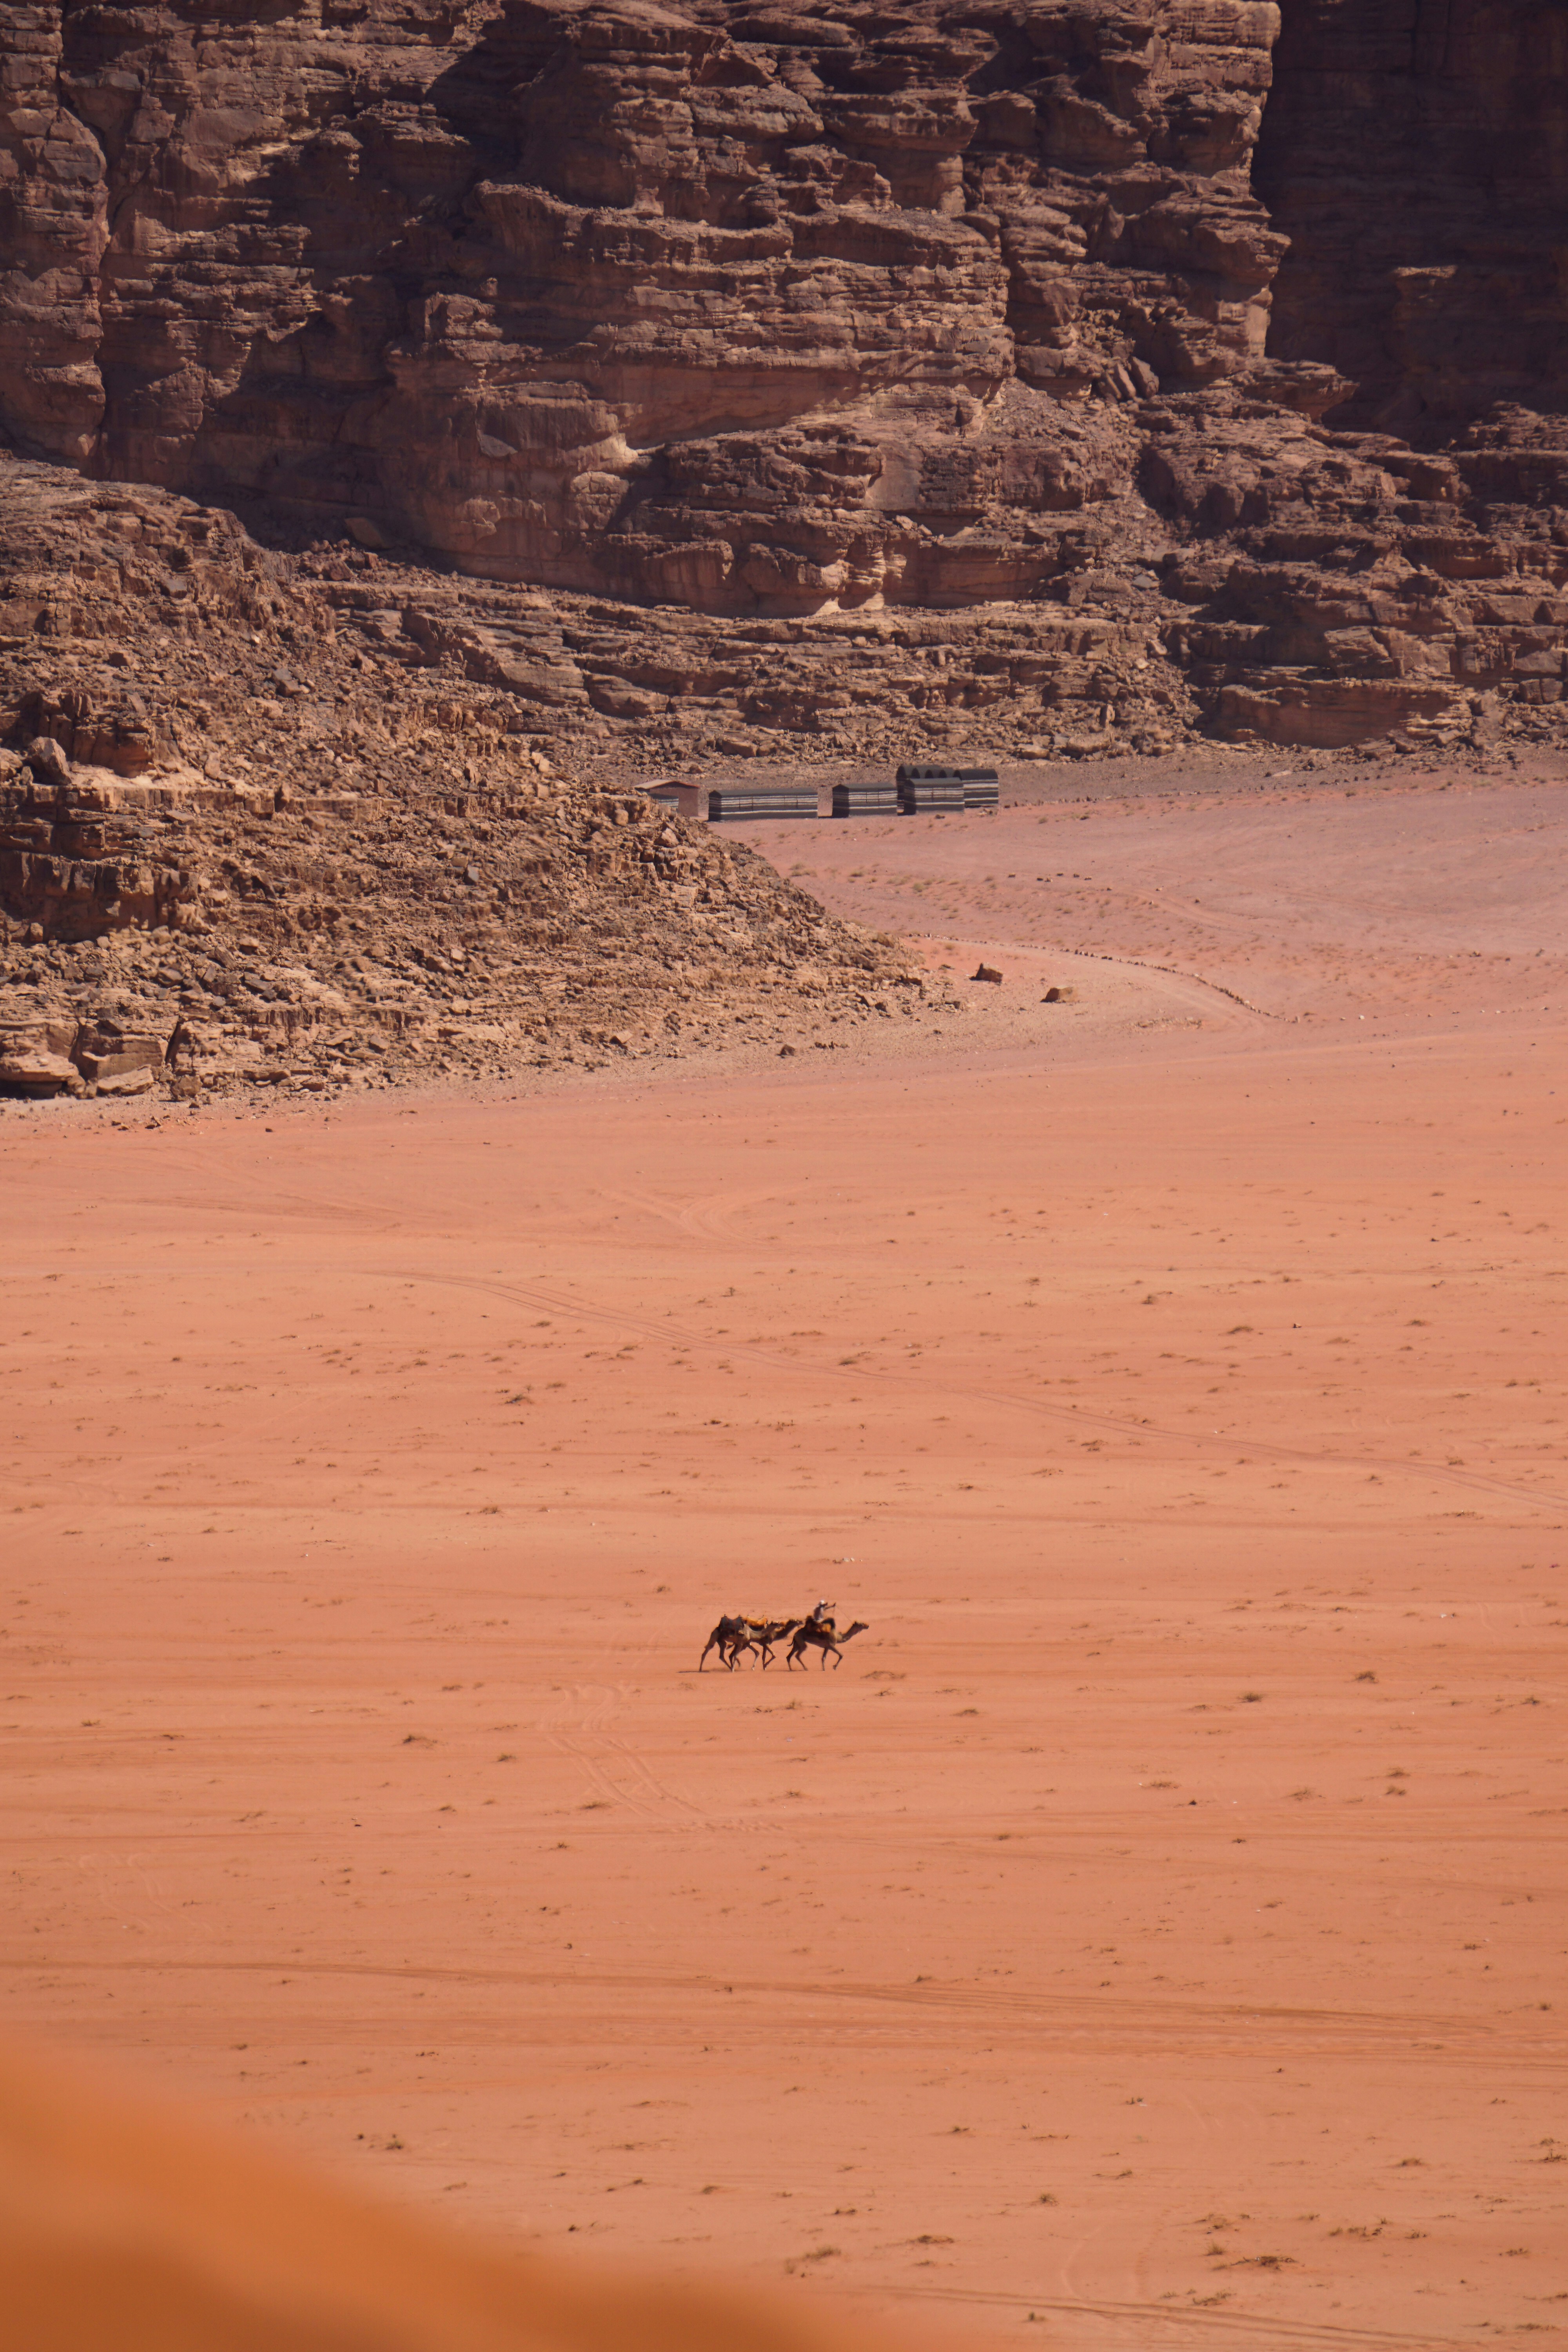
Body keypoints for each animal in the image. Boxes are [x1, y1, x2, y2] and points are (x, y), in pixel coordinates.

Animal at [786, 1619, 869, 1670]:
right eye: (862, 1624)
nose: (868, 1626)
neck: (839, 1637)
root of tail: (795, 1634)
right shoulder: (831, 1645)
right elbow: (841, 1655)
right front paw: (835, 1667)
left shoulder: (827, 1647)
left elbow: (823, 1658)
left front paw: (824, 1669)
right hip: (801, 1641)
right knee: (798, 1654)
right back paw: (806, 1668)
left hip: (797, 1643)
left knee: (789, 1656)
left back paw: (791, 1669)